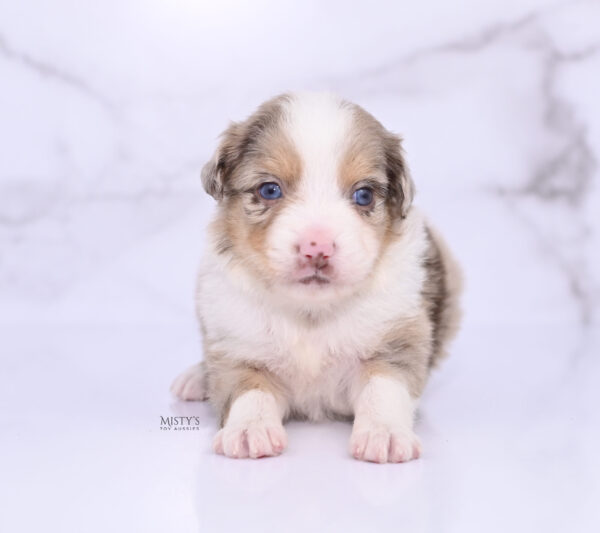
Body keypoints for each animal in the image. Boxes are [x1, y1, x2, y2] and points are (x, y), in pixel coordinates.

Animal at [171, 93, 462, 464]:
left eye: (363, 195)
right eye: (269, 190)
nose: (317, 247)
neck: (311, 313)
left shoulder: (395, 342)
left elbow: (383, 387)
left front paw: (384, 433)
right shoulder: (238, 346)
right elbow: (250, 390)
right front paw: (250, 429)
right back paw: (196, 378)